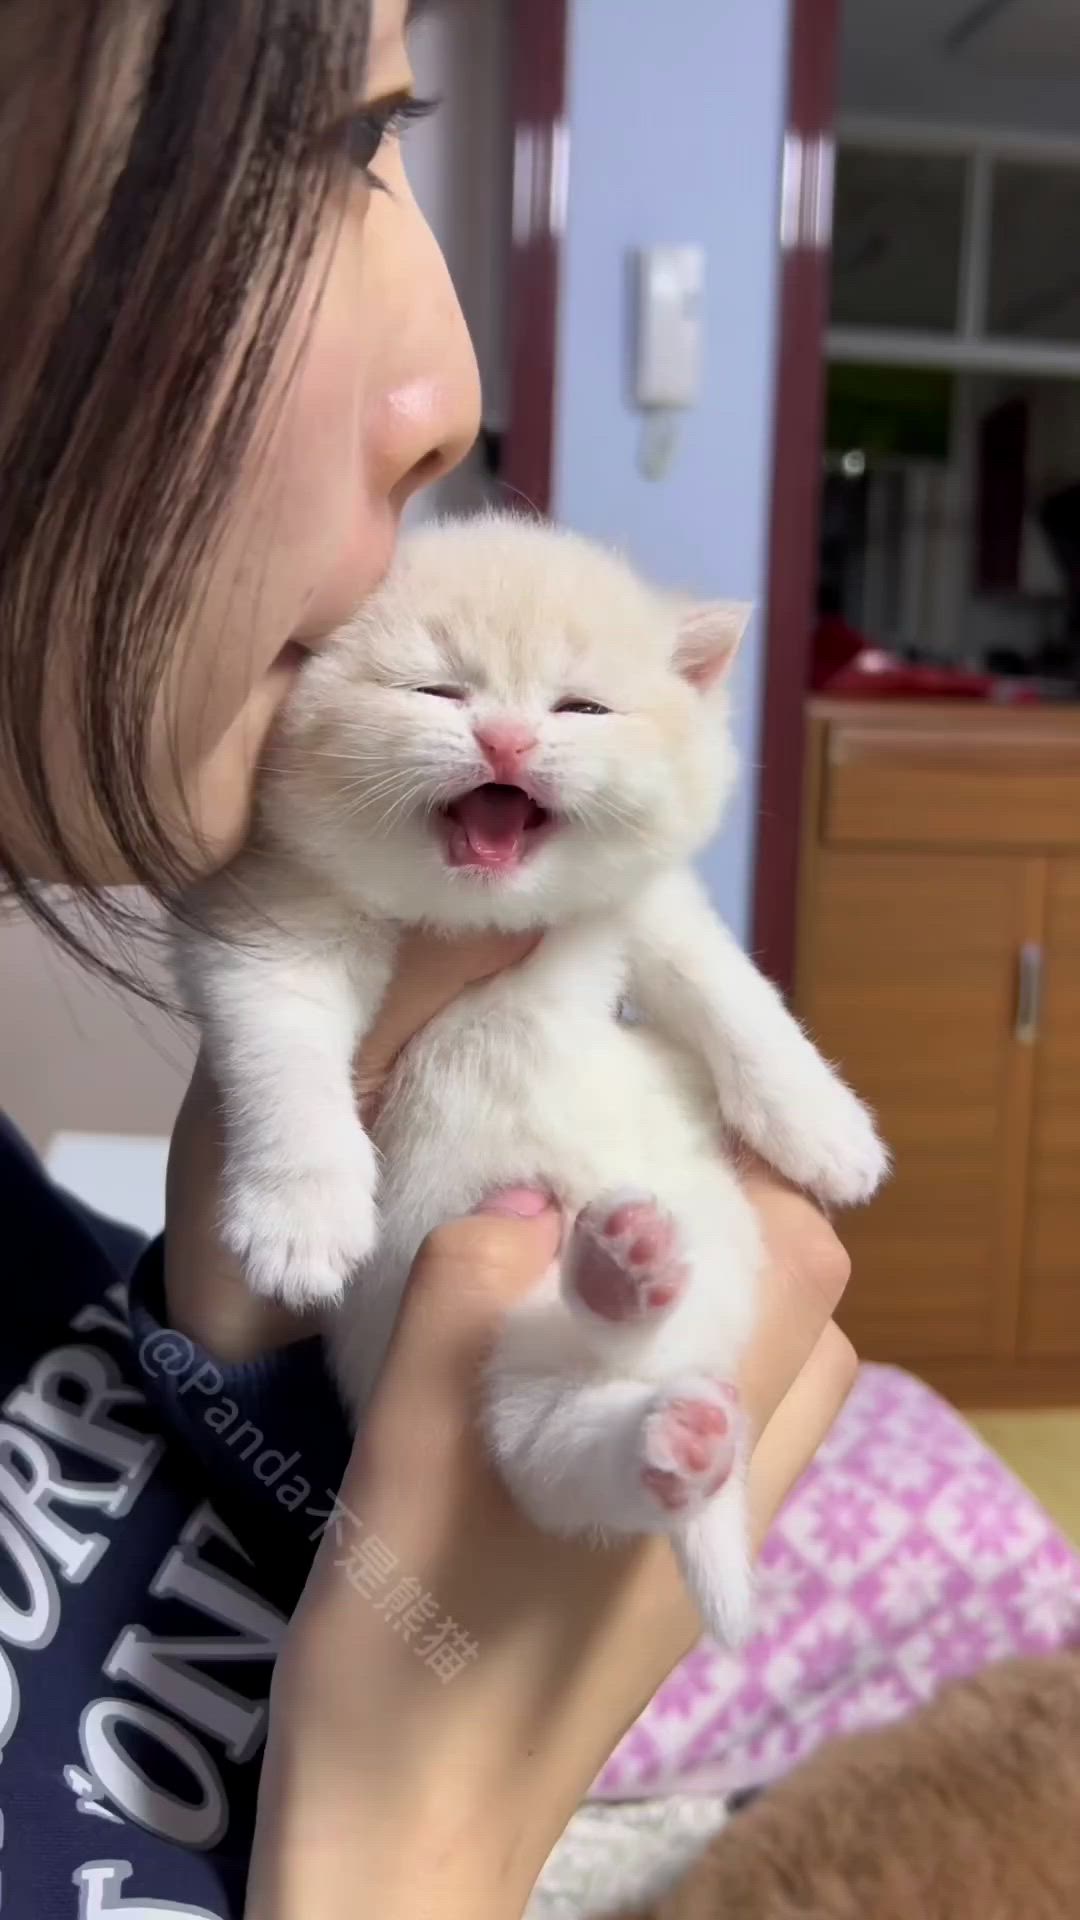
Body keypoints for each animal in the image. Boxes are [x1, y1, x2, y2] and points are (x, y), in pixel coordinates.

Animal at [176, 518, 883, 1643]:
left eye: (578, 709)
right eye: (437, 690)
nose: (505, 742)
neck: (478, 924)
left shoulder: (651, 904)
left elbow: (731, 991)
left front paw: (823, 1124)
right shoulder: (266, 936)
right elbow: (282, 1061)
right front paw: (302, 1212)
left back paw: (640, 1311)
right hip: (498, 1386)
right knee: (556, 1456)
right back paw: (643, 1353)